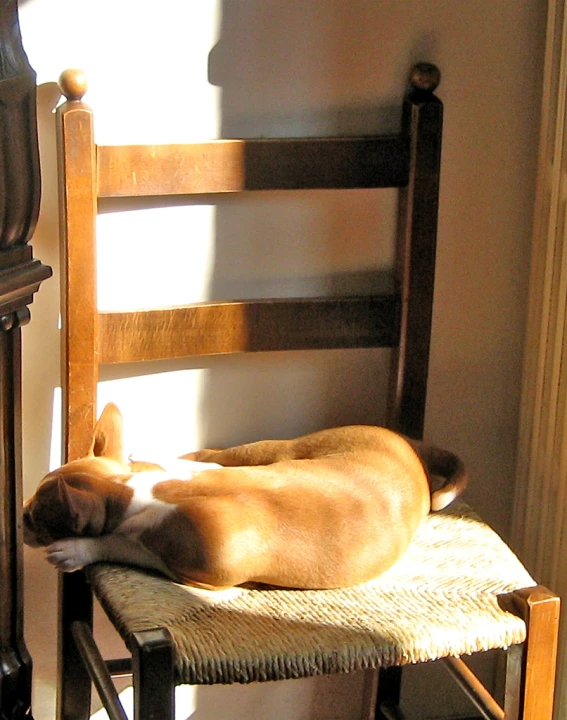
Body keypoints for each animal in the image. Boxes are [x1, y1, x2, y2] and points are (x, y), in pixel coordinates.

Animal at [22, 402, 468, 588]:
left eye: (33, 519)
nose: (19, 515)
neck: (138, 491)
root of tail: (406, 442)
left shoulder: (197, 574)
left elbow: (123, 545)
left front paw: (78, 549)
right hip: (277, 451)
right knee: (213, 455)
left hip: (277, 450)